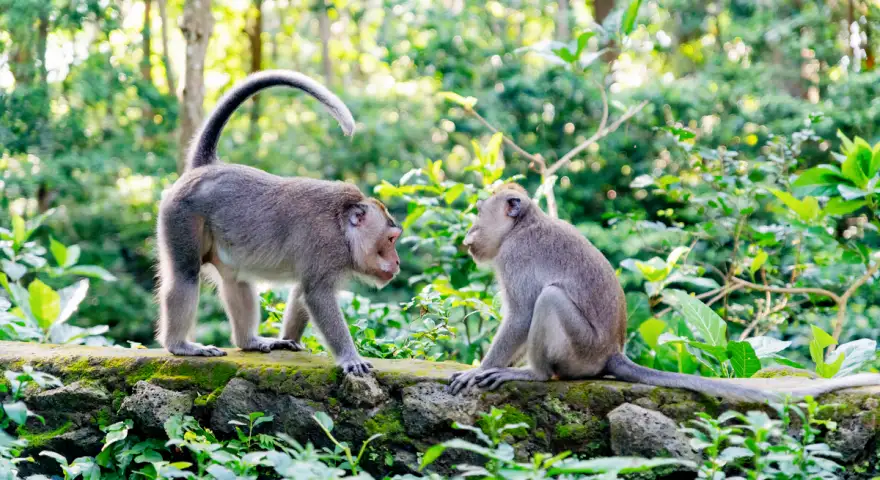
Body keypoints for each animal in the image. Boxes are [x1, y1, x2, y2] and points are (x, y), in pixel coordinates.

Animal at [155, 70, 402, 375]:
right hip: (180, 215)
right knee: (185, 275)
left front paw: (289, 339)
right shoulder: (326, 245)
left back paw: (248, 341)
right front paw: (350, 357)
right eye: (390, 239)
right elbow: (317, 295)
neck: (342, 228)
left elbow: (301, 293)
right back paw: (180, 345)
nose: (397, 261)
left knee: (237, 279)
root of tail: (206, 168)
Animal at [448, 183, 880, 401]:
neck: (522, 227)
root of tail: (613, 352)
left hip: (581, 350)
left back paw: (534, 375)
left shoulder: (514, 256)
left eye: (478, 212)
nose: (469, 233)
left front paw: (480, 370)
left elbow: (521, 314)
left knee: (549, 298)